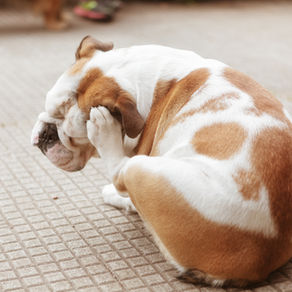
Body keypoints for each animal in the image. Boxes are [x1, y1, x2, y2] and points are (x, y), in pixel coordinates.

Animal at [31, 36, 292, 288]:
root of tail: (263, 254)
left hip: (143, 169)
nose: (46, 134)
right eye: (47, 108)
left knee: (120, 172)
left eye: (73, 137)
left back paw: (105, 132)